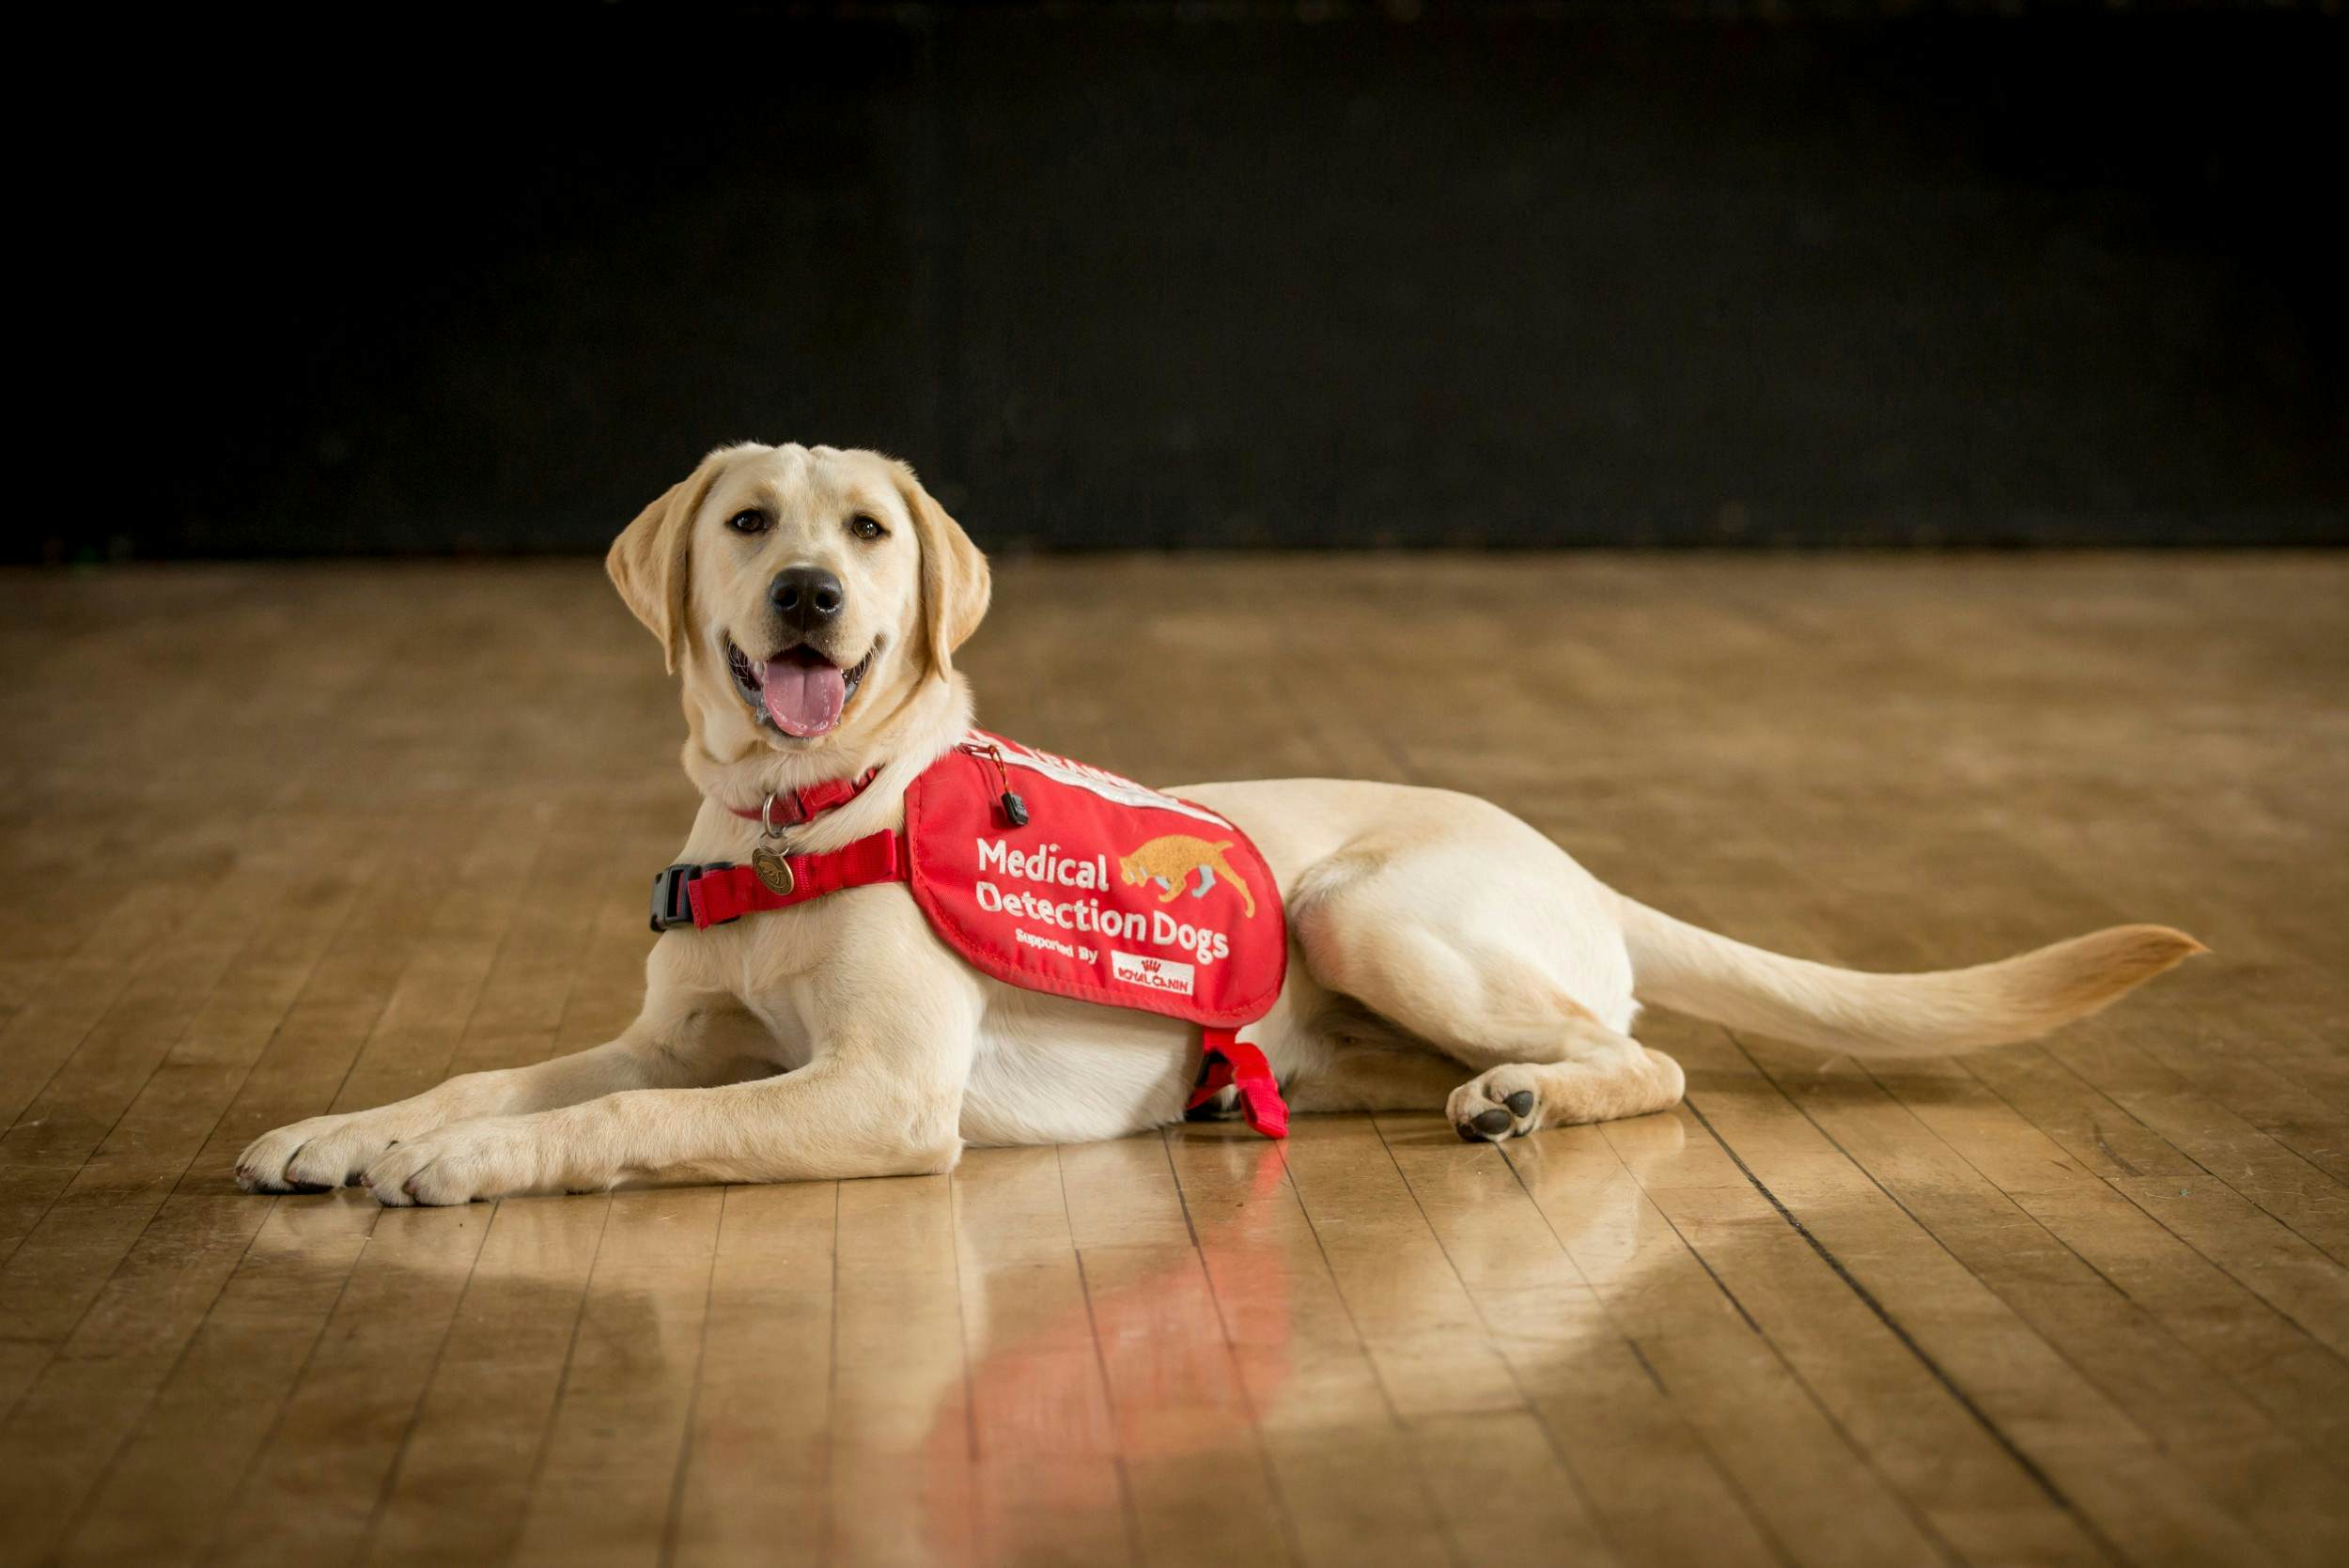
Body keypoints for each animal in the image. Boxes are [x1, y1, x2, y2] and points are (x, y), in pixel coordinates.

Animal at [238, 445, 2199, 1211]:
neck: (804, 814)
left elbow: (621, 1120)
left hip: (1366, 912)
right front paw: (356, 1126)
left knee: (1648, 1059)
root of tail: (1573, 857)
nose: (805, 594)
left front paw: (464, 1171)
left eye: (865, 529)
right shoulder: (673, 1032)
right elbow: (499, 1074)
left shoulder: (875, 1091)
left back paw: (1526, 1096)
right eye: (743, 521)